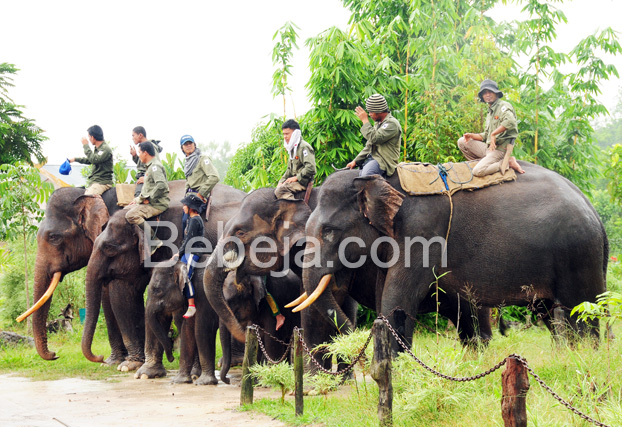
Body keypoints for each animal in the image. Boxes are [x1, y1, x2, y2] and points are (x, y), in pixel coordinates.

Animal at [292, 162, 608, 350]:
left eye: (329, 231)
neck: (382, 180)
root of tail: (594, 210)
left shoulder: (422, 233)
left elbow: (397, 302)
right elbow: (387, 298)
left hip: (578, 255)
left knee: (581, 315)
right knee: (552, 316)